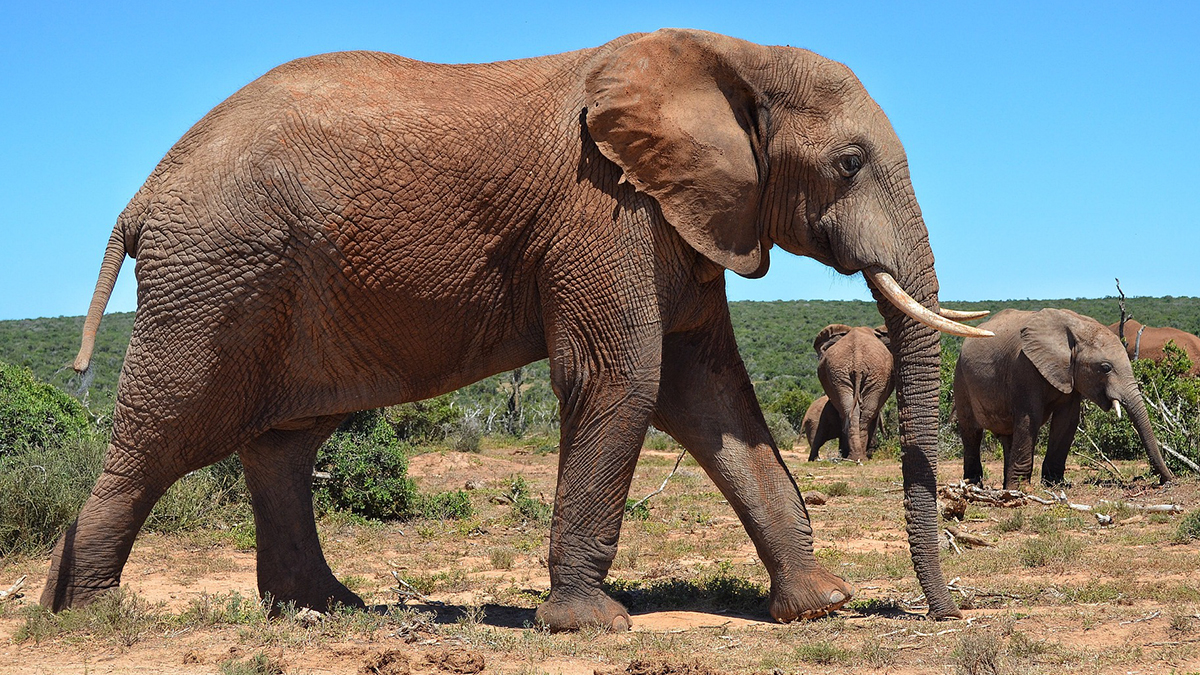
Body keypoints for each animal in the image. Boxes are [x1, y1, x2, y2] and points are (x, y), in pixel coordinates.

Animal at [806, 324, 892, 458]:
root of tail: (858, 360)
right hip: (844, 373)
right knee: (862, 412)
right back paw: (859, 457)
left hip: (853, 373)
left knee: (852, 411)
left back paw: (856, 457)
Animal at [950, 307, 1176, 485]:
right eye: (1105, 368)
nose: (1167, 480)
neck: (1077, 328)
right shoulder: (1024, 366)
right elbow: (1029, 418)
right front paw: (1021, 489)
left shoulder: (1071, 374)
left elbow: (1066, 420)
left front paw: (1054, 484)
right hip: (960, 376)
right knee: (971, 431)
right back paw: (974, 484)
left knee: (1007, 436)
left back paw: (1006, 483)